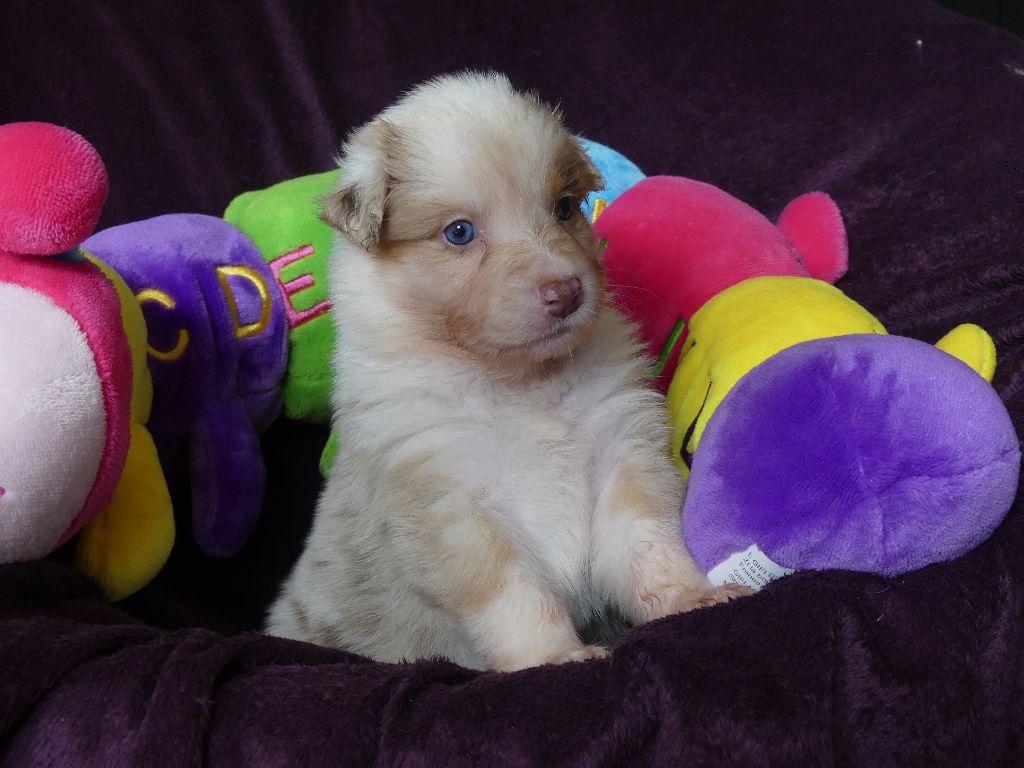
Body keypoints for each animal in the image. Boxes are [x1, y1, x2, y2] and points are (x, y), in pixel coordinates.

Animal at [265, 71, 747, 671]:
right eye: (459, 232)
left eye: (563, 208)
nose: (567, 293)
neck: (521, 383)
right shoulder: (452, 508)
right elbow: (516, 596)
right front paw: (557, 655)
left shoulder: (622, 456)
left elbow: (648, 544)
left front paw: (692, 598)